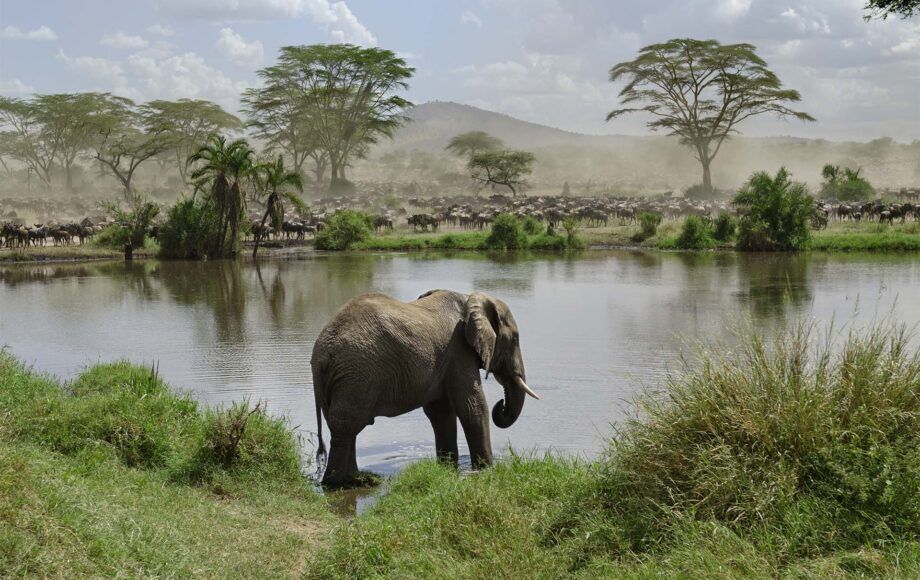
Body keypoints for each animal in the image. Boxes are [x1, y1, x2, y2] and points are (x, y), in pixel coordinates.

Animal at [310, 288, 540, 484]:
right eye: (515, 339)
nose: (500, 405)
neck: (469, 299)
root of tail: (321, 353)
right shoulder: (458, 350)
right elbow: (472, 407)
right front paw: (485, 470)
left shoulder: (446, 358)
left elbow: (441, 412)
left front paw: (447, 468)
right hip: (357, 372)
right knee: (346, 424)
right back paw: (340, 483)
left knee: (345, 427)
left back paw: (355, 479)